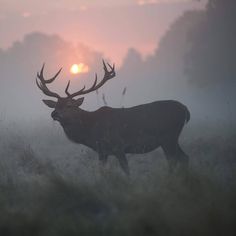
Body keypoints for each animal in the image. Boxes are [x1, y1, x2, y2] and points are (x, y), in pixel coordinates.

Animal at [36, 60, 190, 175]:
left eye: (69, 105)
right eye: (55, 105)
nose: (54, 114)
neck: (91, 130)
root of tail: (185, 109)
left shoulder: (118, 146)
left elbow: (126, 171)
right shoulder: (102, 151)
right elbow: (102, 172)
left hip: (169, 137)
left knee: (175, 160)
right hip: (170, 139)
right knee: (183, 158)